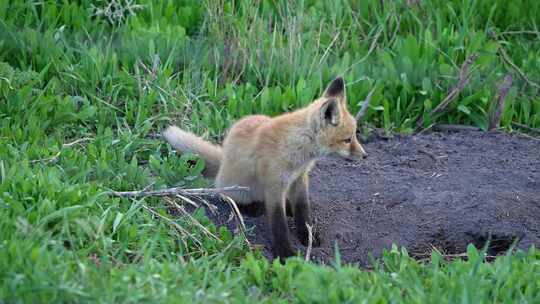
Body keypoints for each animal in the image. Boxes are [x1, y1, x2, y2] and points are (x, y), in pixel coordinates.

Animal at [165, 76, 368, 258]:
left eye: (354, 136)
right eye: (347, 140)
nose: (365, 156)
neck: (298, 149)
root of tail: (222, 161)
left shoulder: (299, 179)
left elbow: (303, 211)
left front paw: (307, 236)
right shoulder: (274, 184)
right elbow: (278, 223)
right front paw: (286, 253)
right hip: (239, 190)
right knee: (232, 197)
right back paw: (251, 207)